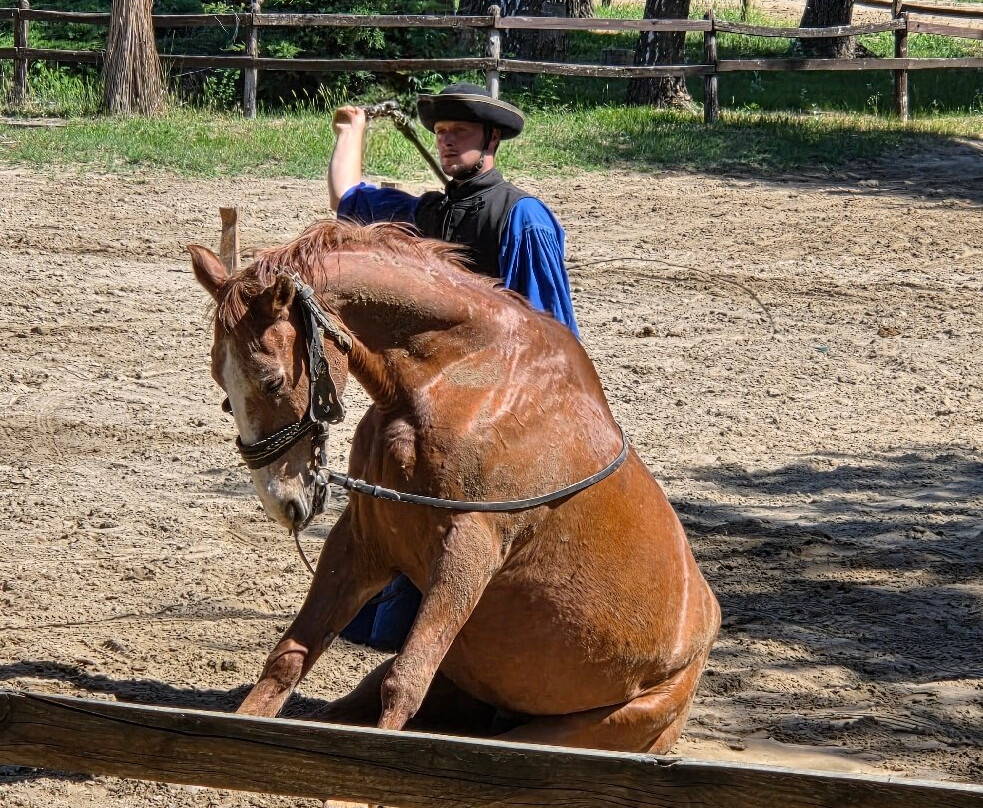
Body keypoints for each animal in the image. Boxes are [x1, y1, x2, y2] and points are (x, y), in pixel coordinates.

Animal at [188, 219, 720, 754]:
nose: (283, 501)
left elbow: (405, 682)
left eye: (273, 382)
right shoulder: (362, 541)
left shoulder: (470, 548)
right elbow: (288, 658)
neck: (458, 381)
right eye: (224, 390)